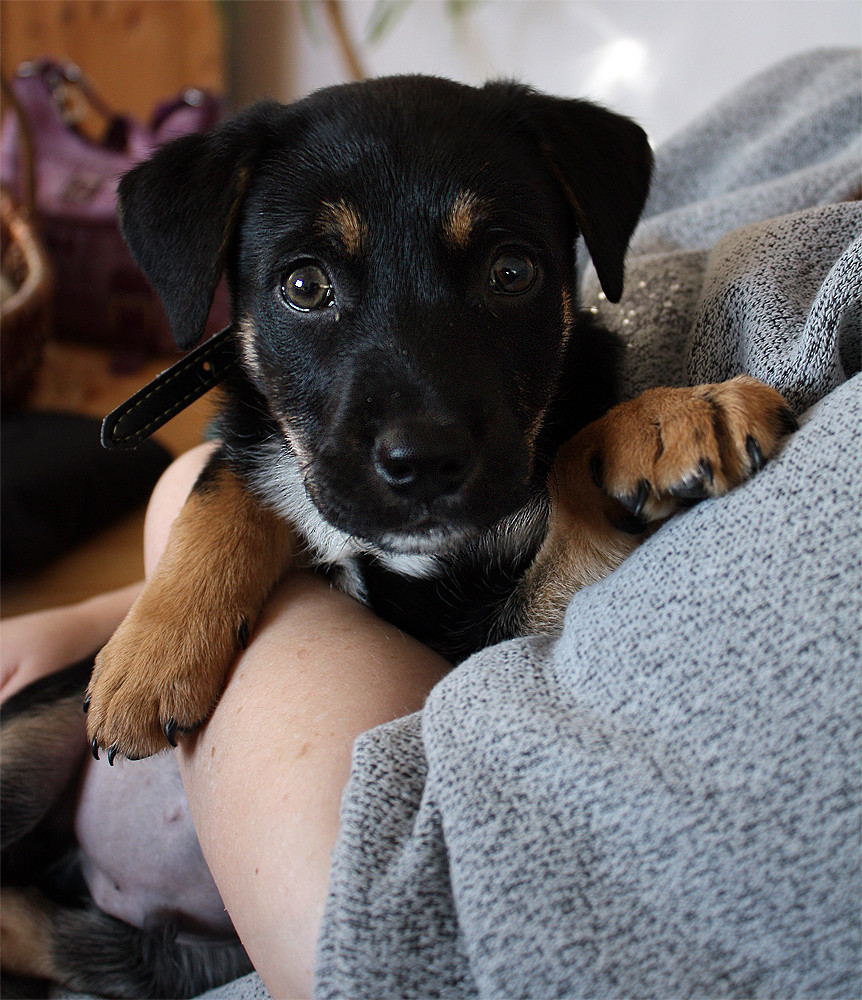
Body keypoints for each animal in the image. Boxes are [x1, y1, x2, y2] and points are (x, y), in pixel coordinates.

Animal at [1, 74, 796, 996]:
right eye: (304, 287)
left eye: (512, 272)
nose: (423, 463)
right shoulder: (271, 446)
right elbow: (230, 478)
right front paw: (151, 658)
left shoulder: (490, 645)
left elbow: (566, 463)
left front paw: (665, 416)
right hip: (21, 739)